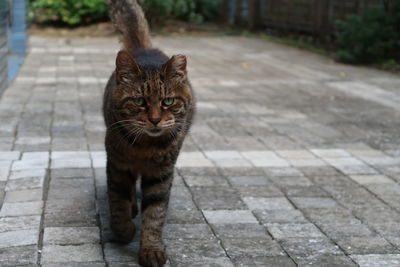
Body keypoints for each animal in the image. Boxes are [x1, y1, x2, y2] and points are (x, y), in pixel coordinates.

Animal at [104, 1, 195, 266]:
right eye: (139, 101)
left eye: (168, 101)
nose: (155, 119)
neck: (144, 147)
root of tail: (144, 49)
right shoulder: (117, 164)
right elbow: (118, 201)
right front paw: (124, 230)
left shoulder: (161, 174)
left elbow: (155, 214)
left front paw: (151, 249)